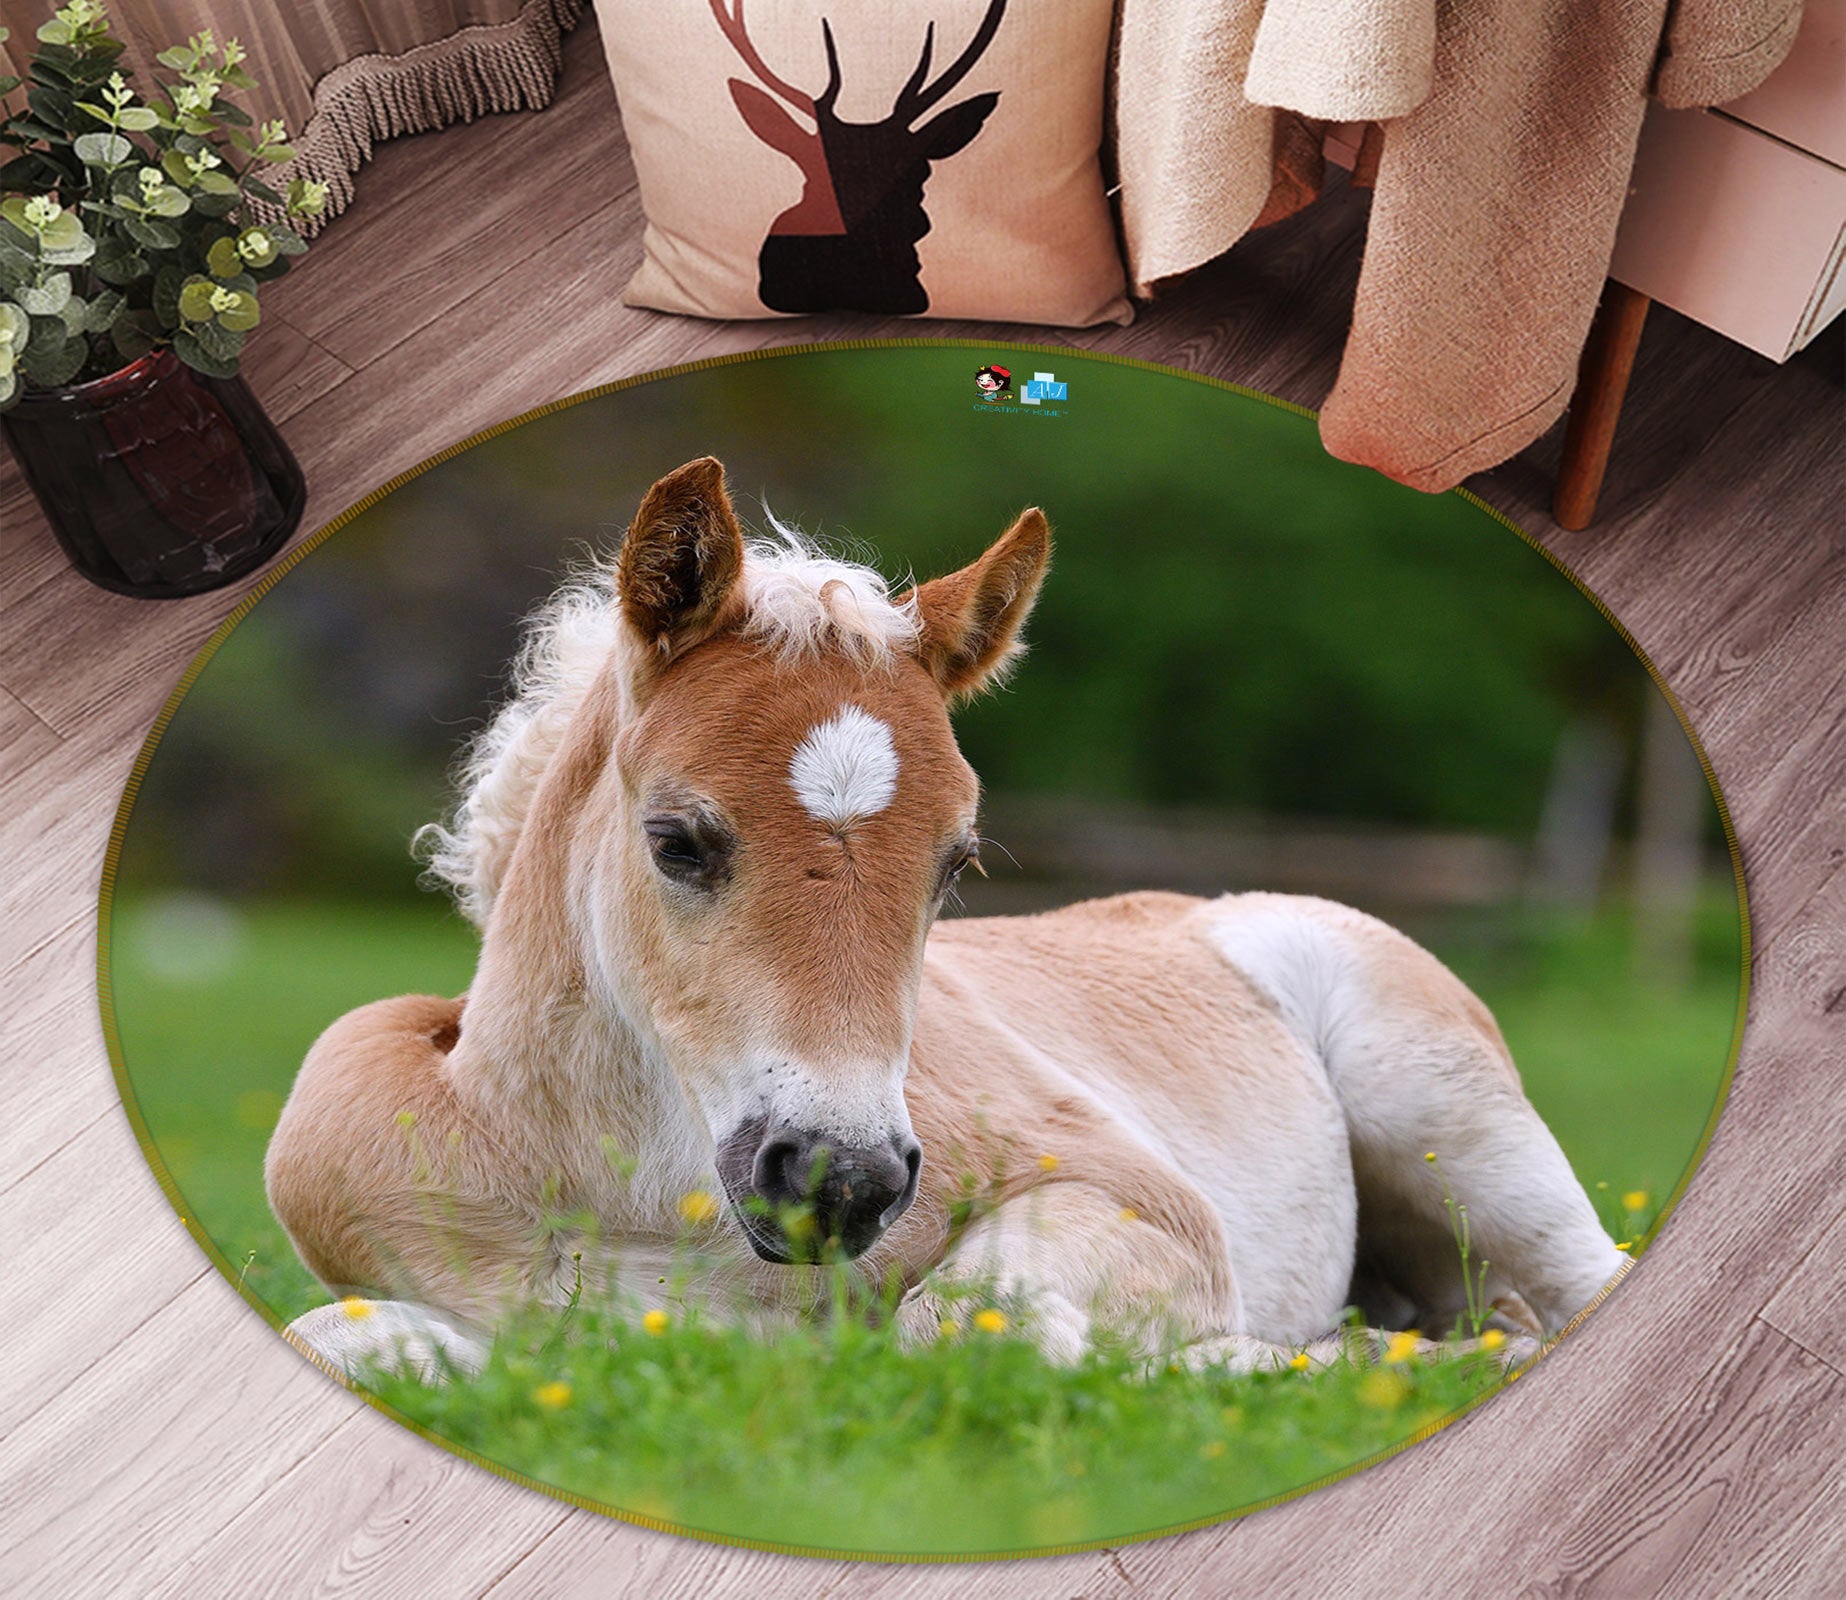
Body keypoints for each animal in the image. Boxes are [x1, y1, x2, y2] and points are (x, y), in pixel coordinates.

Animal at [268, 456, 1627, 1378]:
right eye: (676, 840)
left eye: (955, 865)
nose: (840, 1181)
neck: (631, 1190)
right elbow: (340, 1334)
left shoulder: (1139, 1196)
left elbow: (966, 1325)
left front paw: (1243, 1361)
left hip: (1452, 1121)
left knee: (1579, 1287)